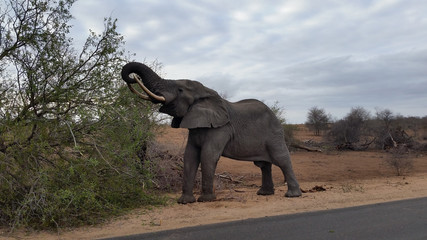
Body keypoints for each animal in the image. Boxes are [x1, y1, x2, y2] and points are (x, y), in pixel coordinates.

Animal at [120, 61, 300, 202]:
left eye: (180, 90)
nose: (133, 77)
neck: (206, 92)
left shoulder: (221, 128)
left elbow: (207, 155)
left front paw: (206, 200)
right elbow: (189, 156)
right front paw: (185, 202)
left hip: (273, 134)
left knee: (282, 159)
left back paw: (292, 195)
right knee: (264, 165)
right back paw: (264, 194)